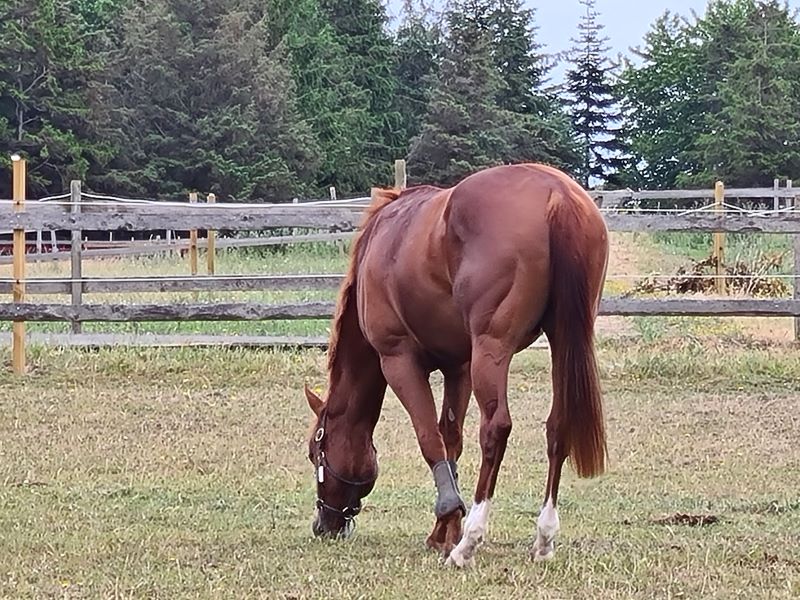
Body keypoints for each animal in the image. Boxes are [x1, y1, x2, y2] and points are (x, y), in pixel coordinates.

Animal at [304, 162, 608, 564]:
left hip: (491, 349)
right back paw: (543, 537)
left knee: (496, 429)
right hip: (561, 340)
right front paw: (444, 530)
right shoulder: (459, 367)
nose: (323, 525)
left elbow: (430, 439)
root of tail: (556, 194)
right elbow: (451, 442)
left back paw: (470, 542)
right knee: (557, 427)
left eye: (315, 453)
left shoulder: (398, 360)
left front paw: (451, 523)